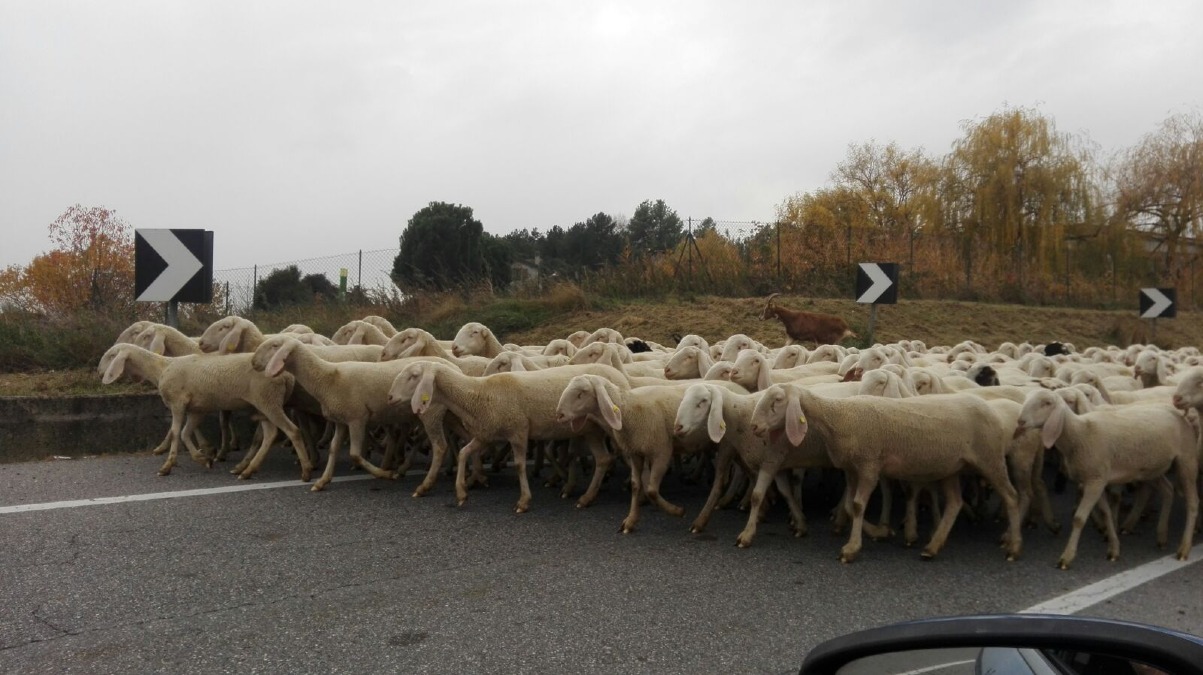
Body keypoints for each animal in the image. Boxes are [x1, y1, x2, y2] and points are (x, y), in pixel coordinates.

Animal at [393, 361, 632, 511]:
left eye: (414, 376)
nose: (391, 397)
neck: (477, 394)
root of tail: (620, 376)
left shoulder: (518, 429)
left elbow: (518, 465)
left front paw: (523, 502)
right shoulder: (486, 434)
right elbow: (463, 453)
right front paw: (461, 493)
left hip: (610, 424)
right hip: (591, 430)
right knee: (603, 459)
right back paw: (587, 498)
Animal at [750, 384, 1023, 563]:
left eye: (777, 400)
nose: (754, 426)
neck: (837, 417)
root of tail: (993, 410)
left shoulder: (869, 465)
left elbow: (858, 506)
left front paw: (851, 548)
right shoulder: (852, 468)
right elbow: (849, 506)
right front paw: (880, 532)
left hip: (990, 459)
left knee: (1011, 496)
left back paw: (1013, 545)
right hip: (951, 467)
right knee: (955, 503)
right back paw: (933, 546)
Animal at [1017, 388, 1198, 568]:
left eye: (1047, 403)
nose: (1020, 421)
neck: (1079, 433)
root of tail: (1178, 412)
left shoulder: (1095, 481)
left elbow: (1079, 518)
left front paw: (1066, 557)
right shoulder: (1095, 481)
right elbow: (1106, 513)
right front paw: (1114, 549)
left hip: (1186, 459)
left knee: (1192, 502)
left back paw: (1184, 548)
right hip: (1150, 468)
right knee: (1168, 490)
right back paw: (1161, 536)